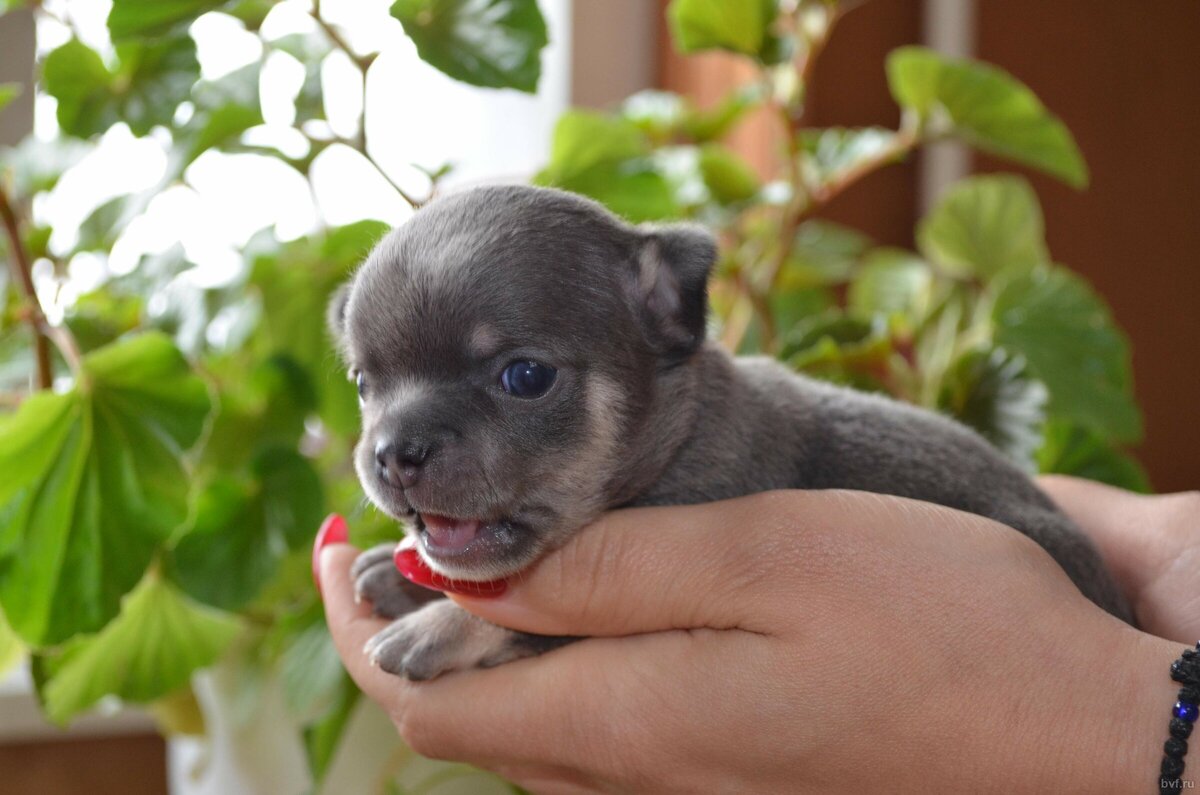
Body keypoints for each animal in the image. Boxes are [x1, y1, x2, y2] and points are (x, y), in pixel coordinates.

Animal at [331, 183, 1132, 682]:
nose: (394, 453)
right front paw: (396, 575)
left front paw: (436, 626)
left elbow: (521, 622)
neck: (676, 438)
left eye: (525, 377)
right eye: (364, 385)